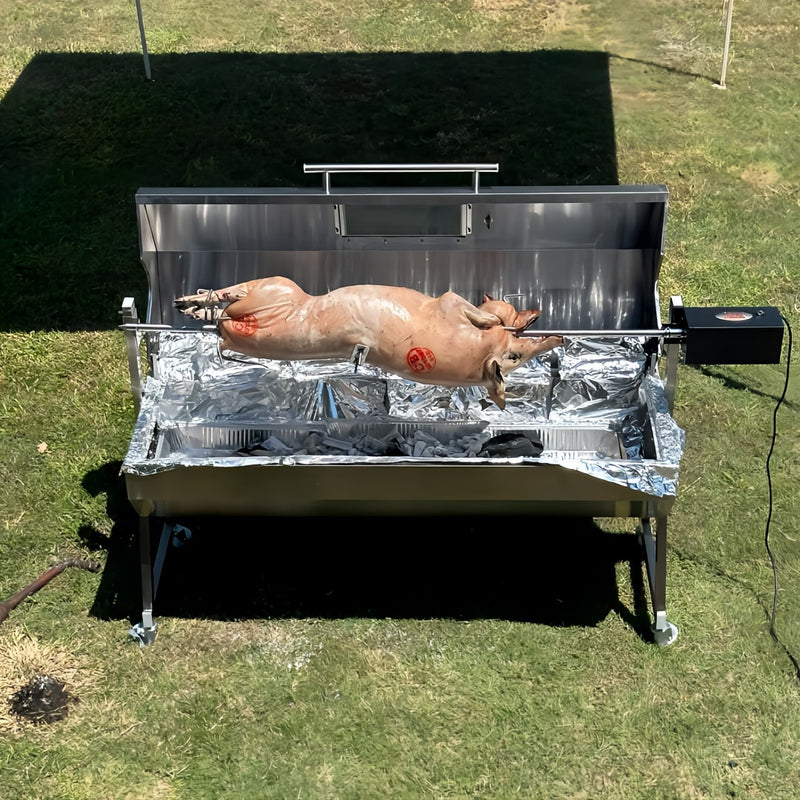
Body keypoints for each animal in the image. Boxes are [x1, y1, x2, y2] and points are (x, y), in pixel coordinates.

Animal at [175, 276, 562, 409]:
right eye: (517, 354)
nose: (538, 317)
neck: (483, 351)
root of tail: (228, 332)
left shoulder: (452, 305)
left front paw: (492, 320)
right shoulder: (452, 304)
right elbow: (481, 314)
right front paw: (493, 320)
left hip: (277, 291)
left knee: (231, 298)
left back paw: (192, 306)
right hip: (270, 294)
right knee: (225, 299)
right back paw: (189, 303)